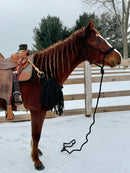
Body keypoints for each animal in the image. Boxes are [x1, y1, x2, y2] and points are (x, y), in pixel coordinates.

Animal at [0, 20, 122, 170]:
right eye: (98, 40)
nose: (119, 57)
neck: (42, 74)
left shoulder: (37, 111)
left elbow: (35, 136)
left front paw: (36, 152)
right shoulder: (37, 111)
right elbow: (36, 135)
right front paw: (36, 161)